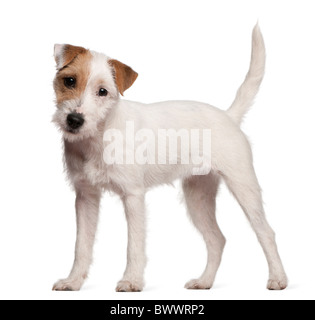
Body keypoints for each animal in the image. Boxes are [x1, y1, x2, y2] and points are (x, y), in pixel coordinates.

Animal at [51, 23, 288, 292]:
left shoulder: (133, 196)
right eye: (70, 81)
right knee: (217, 239)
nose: (74, 120)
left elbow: (134, 245)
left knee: (266, 232)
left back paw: (278, 278)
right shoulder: (85, 197)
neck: (99, 135)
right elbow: (82, 245)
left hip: (244, 187)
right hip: (198, 196)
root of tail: (229, 116)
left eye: (103, 91)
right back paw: (204, 281)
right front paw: (72, 281)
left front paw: (131, 281)